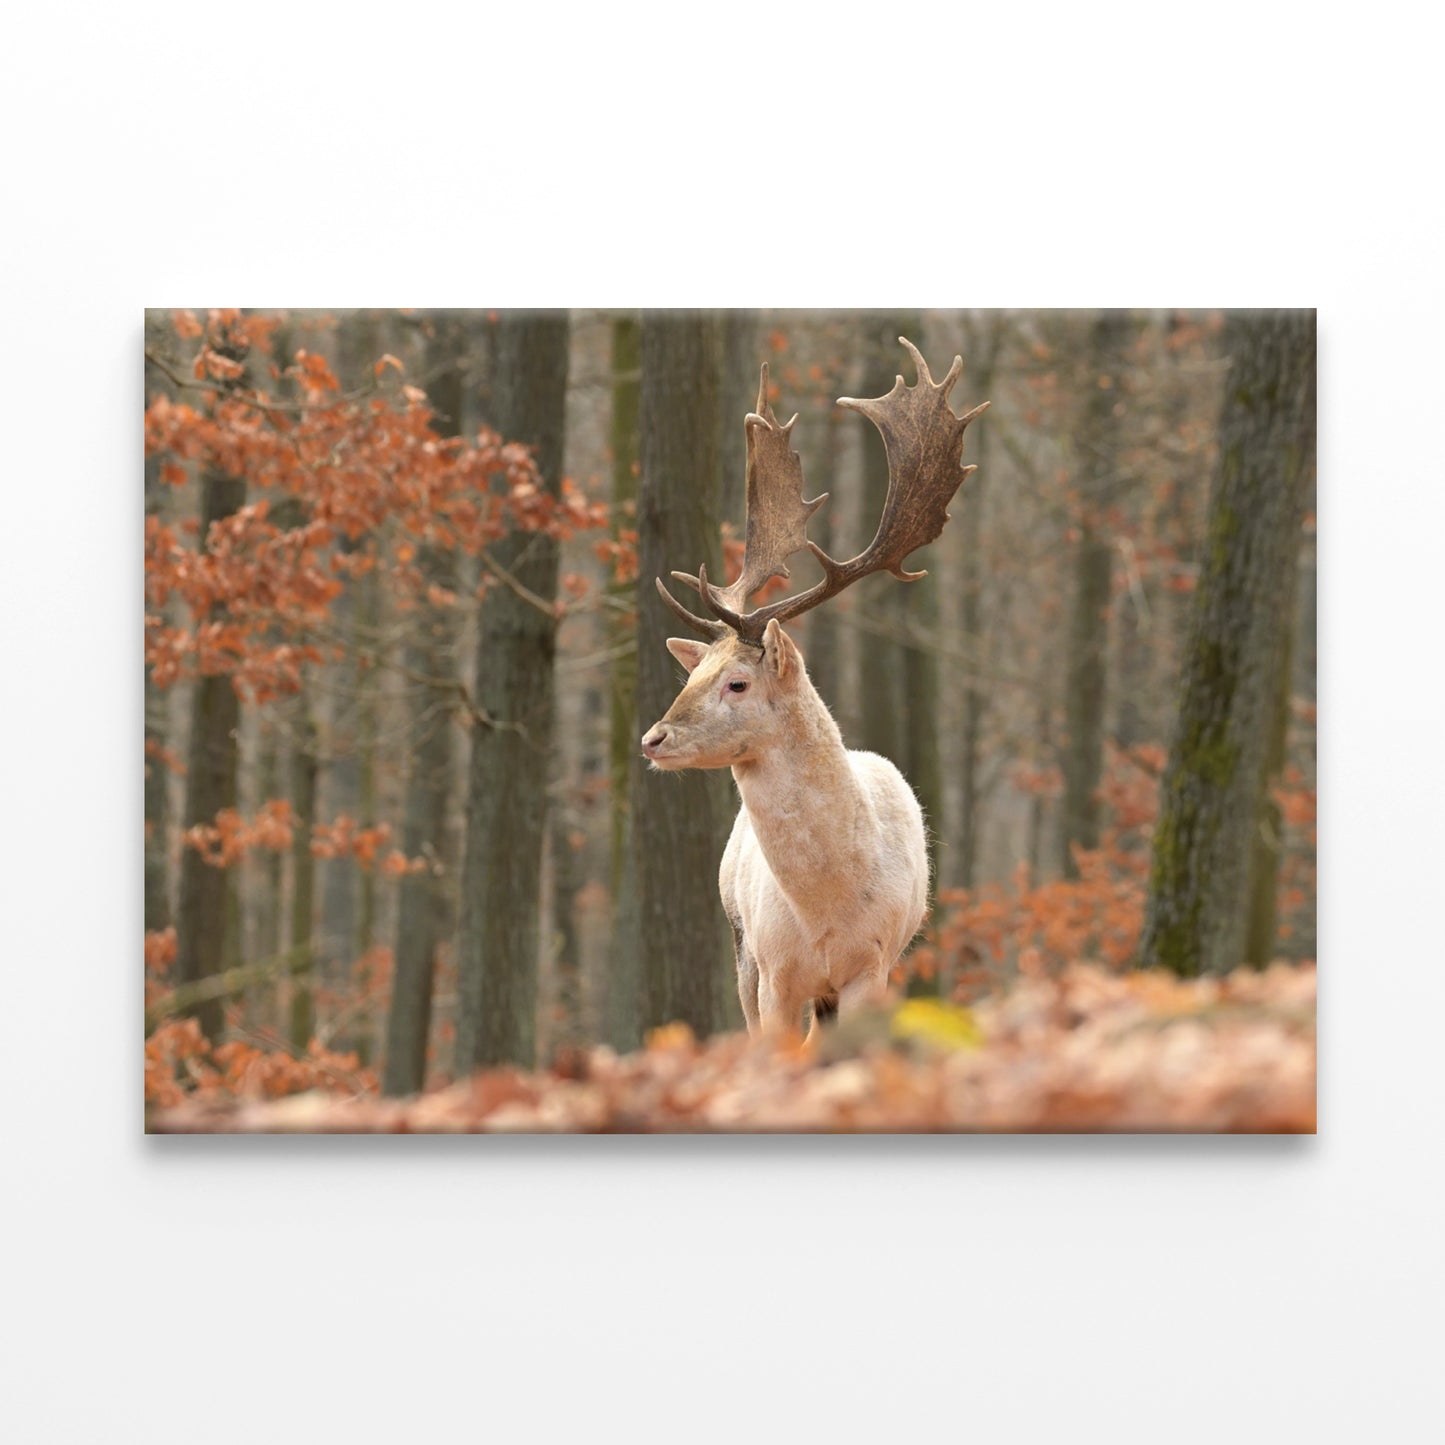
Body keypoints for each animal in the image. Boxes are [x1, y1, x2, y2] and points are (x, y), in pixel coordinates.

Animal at [640, 337, 988, 1041]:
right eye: (692, 674)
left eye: (738, 682)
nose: (652, 738)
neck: (827, 914)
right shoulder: (772, 973)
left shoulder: (874, 965)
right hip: (740, 952)